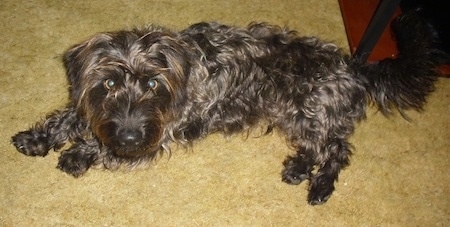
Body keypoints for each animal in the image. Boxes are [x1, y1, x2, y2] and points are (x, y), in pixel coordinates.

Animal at [10, 11, 440, 205]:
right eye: (110, 84)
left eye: (152, 84)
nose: (130, 136)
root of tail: (353, 66)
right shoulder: (95, 107)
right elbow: (73, 117)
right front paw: (37, 138)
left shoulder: (162, 129)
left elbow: (100, 142)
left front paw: (78, 154)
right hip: (294, 115)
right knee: (318, 147)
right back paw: (299, 169)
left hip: (309, 109)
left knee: (337, 149)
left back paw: (320, 185)